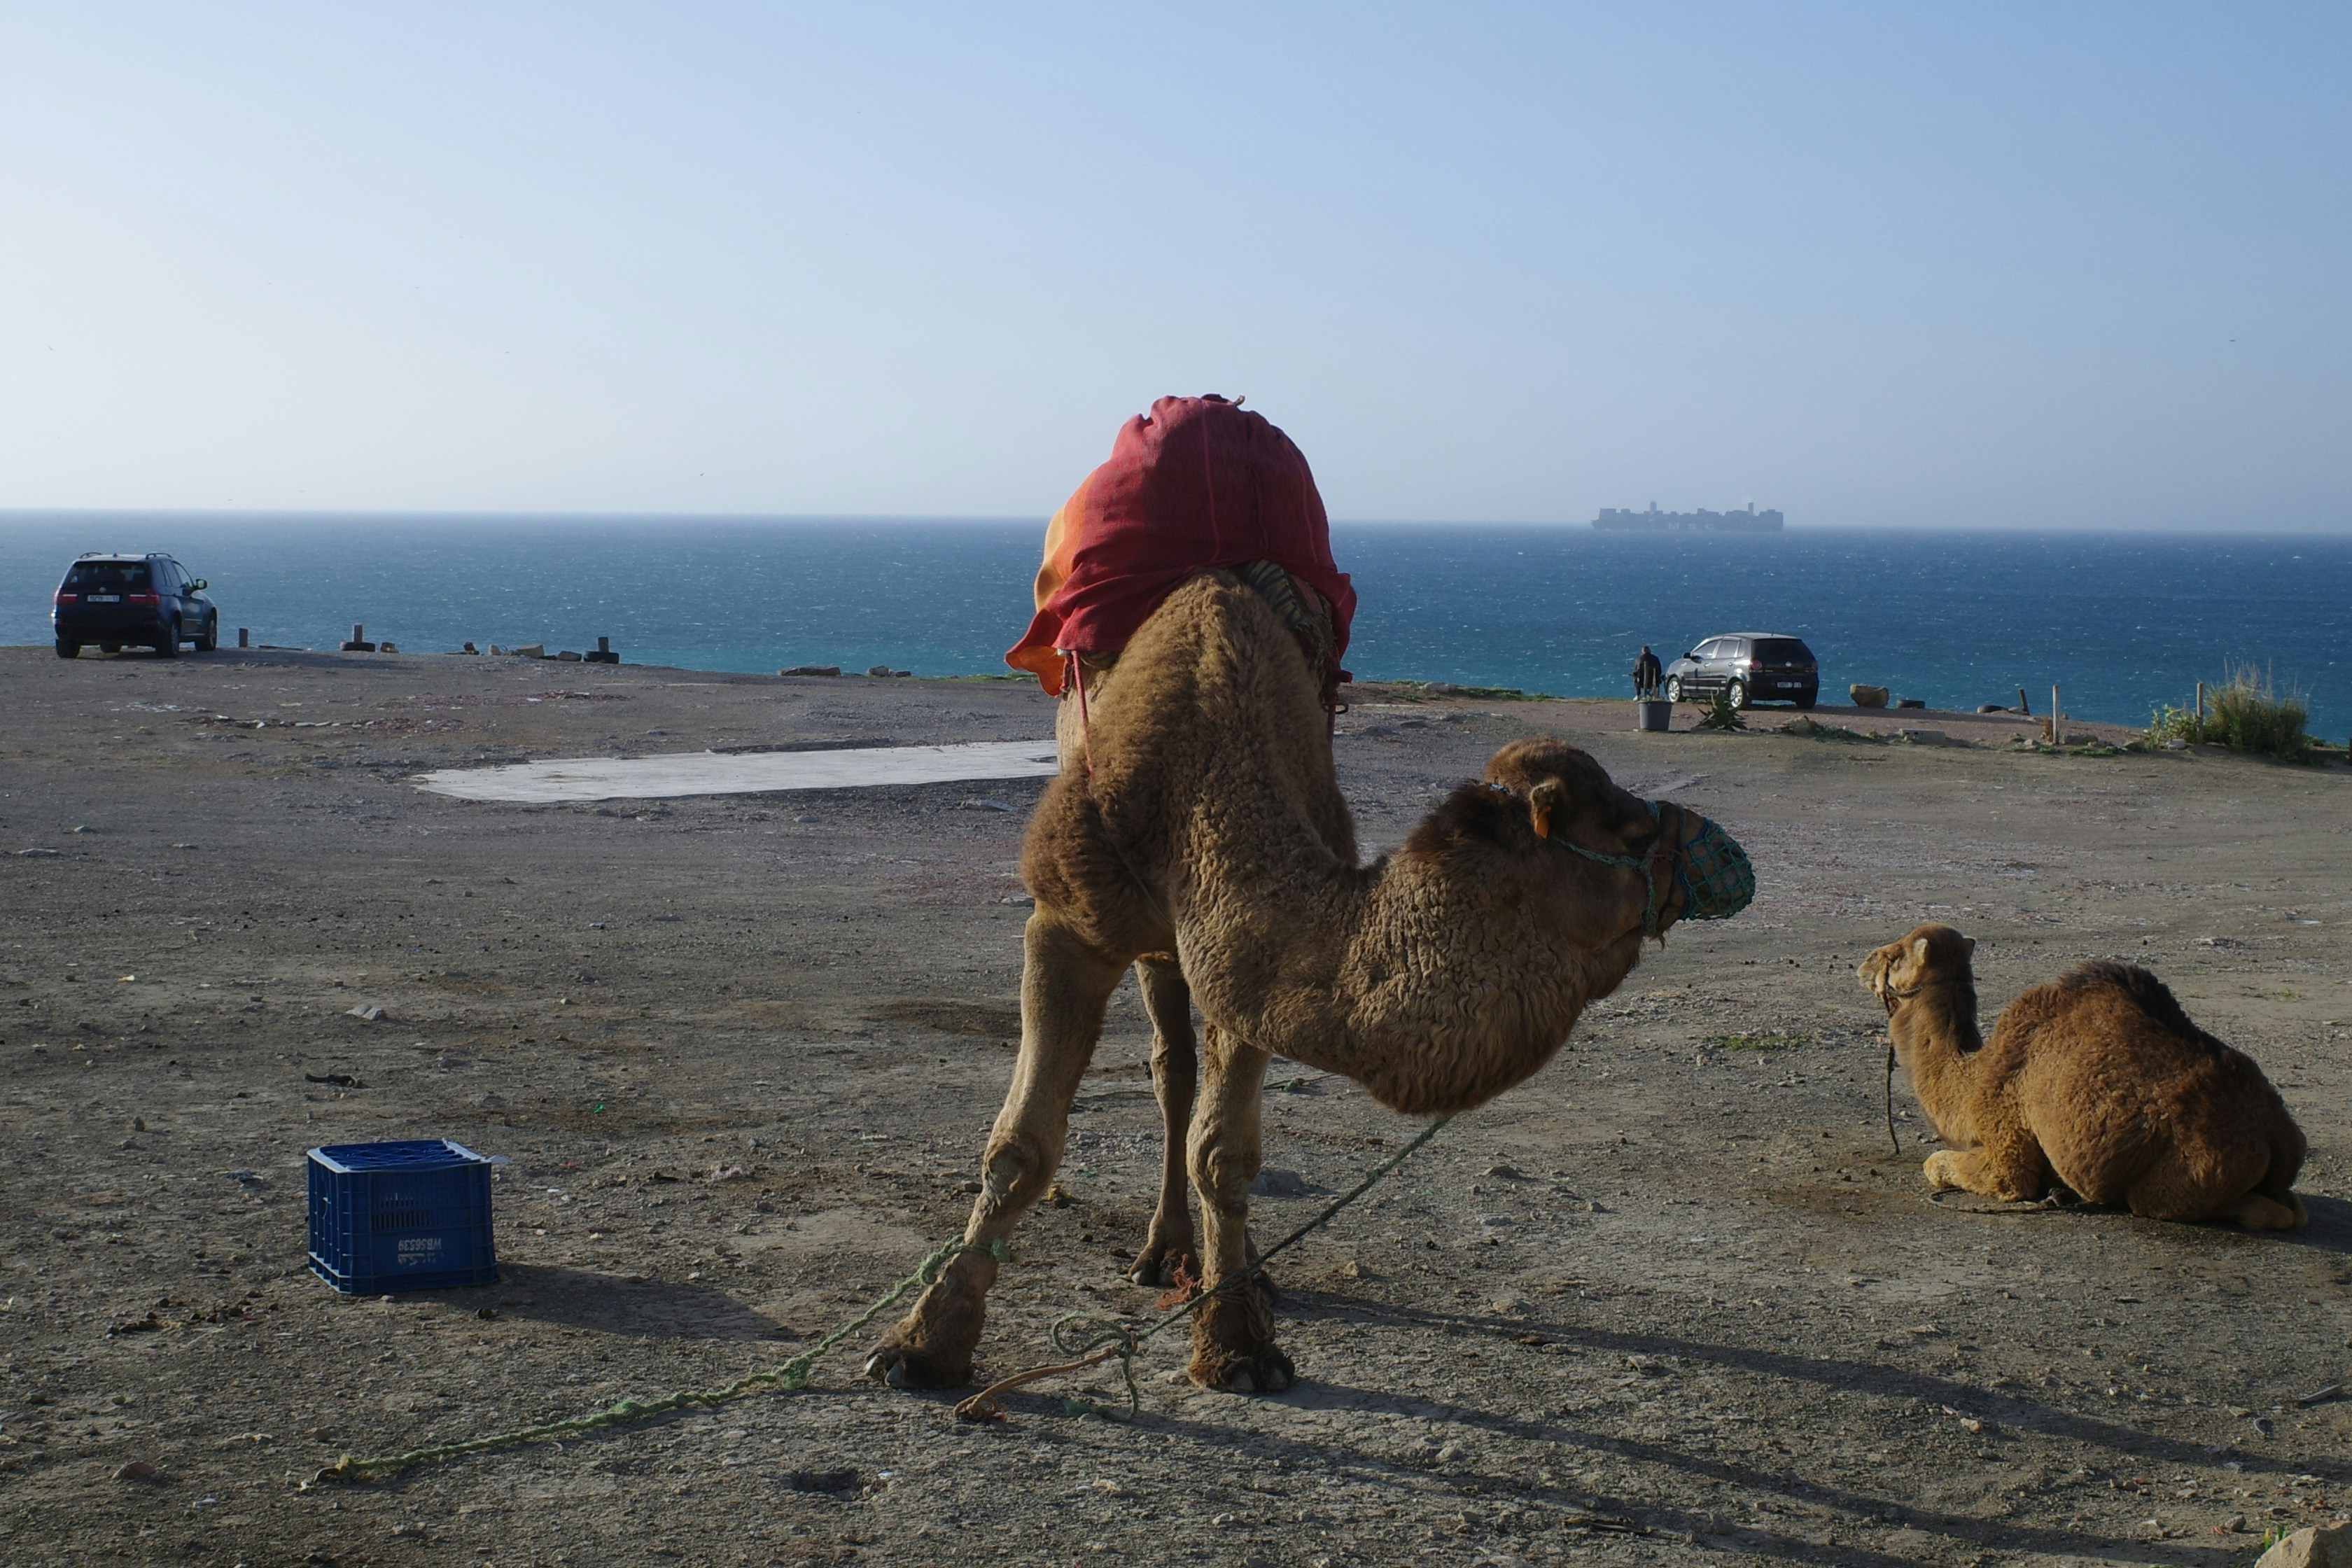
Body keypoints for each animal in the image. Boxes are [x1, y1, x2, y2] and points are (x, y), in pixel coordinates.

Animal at [865, 569, 1750, 1393]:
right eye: (1627, 828)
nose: (1730, 854)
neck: (1198, 781)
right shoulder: (1066, 917)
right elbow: (1021, 1147)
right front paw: (923, 1343)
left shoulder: (1240, 950)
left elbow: (1224, 1154)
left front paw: (1237, 1343)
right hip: (1147, 938)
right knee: (1169, 1069)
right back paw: (1164, 1249)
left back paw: (1227, 1263)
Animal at [1860, 924, 2307, 1229]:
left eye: (1895, 955)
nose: (1863, 964)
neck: (1975, 1075)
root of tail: (2278, 1134)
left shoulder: (2007, 1143)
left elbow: (1940, 1165)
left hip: (2183, 1178)